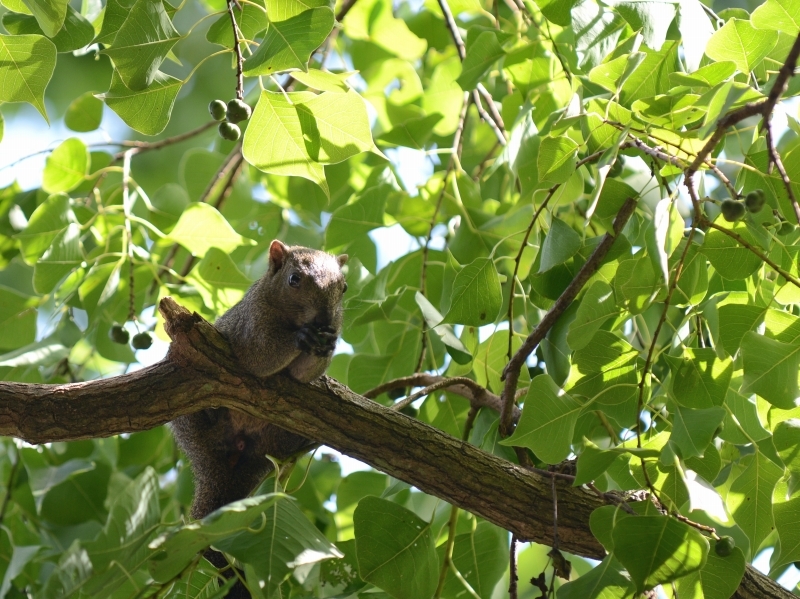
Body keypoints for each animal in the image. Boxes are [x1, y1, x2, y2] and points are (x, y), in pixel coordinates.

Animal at [170, 243, 346, 596]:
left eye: (344, 288)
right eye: (294, 279)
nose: (324, 320)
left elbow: (304, 375)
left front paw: (327, 344)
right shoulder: (250, 326)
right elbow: (259, 356)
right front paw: (300, 338)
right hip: (191, 417)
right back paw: (211, 412)